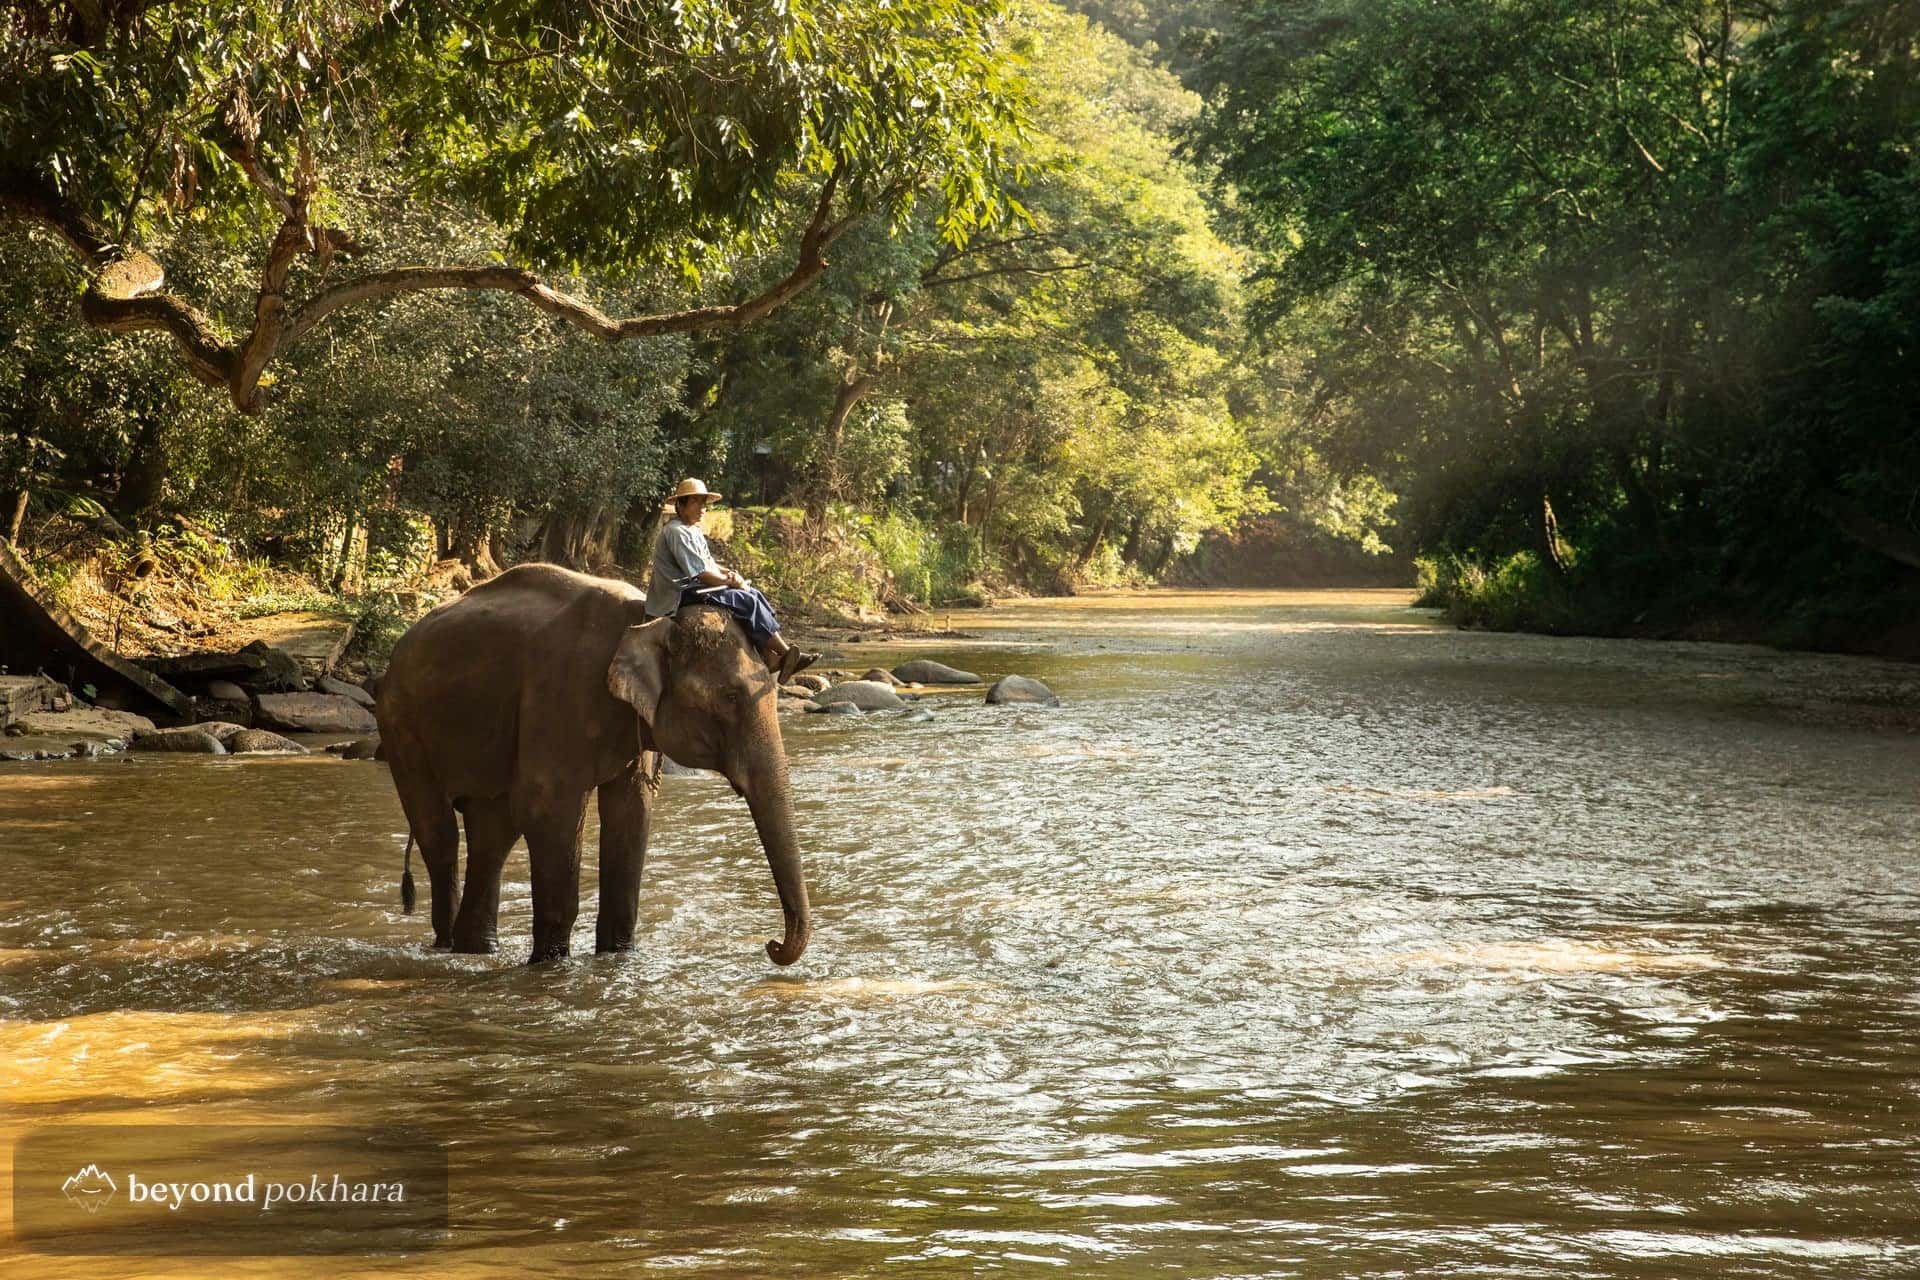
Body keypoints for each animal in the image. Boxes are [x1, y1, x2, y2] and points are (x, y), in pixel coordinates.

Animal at [376, 563, 809, 966]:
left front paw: (618, 956)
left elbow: (631, 810)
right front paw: (551, 963)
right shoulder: (561, 690)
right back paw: (448, 945)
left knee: (491, 833)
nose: (771, 944)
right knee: (440, 834)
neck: (646, 621)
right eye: (731, 698)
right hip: (400, 724)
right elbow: (547, 807)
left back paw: (474, 949)